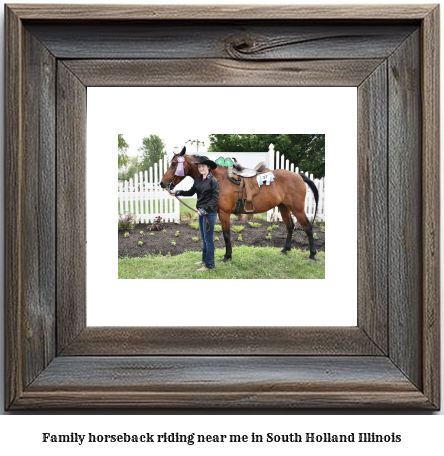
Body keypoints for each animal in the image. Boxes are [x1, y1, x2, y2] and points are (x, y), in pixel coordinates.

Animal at [160, 148, 320, 262]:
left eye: (174, 164)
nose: (162, 183)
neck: (218, 179)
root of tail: (299, 176)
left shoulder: (224, 213)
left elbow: (226, 235)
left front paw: (227, 256)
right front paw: (228, 255)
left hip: (297, 209)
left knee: (308, 227)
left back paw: (312, 255)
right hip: (283, 207)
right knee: (290, 227)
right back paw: (285, 250)